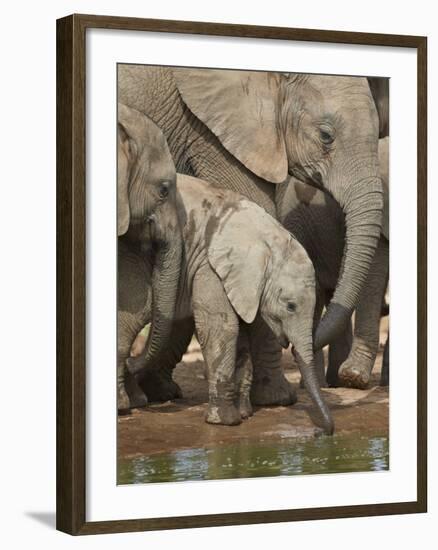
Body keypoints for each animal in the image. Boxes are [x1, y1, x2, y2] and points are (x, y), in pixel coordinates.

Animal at [128, 176, 334, 436]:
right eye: (290, 306)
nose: (320, 432)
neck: (267, 237)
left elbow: (242, 333)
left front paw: (244, 414)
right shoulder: (209, 265)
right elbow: (223, 328)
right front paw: (226, 421)